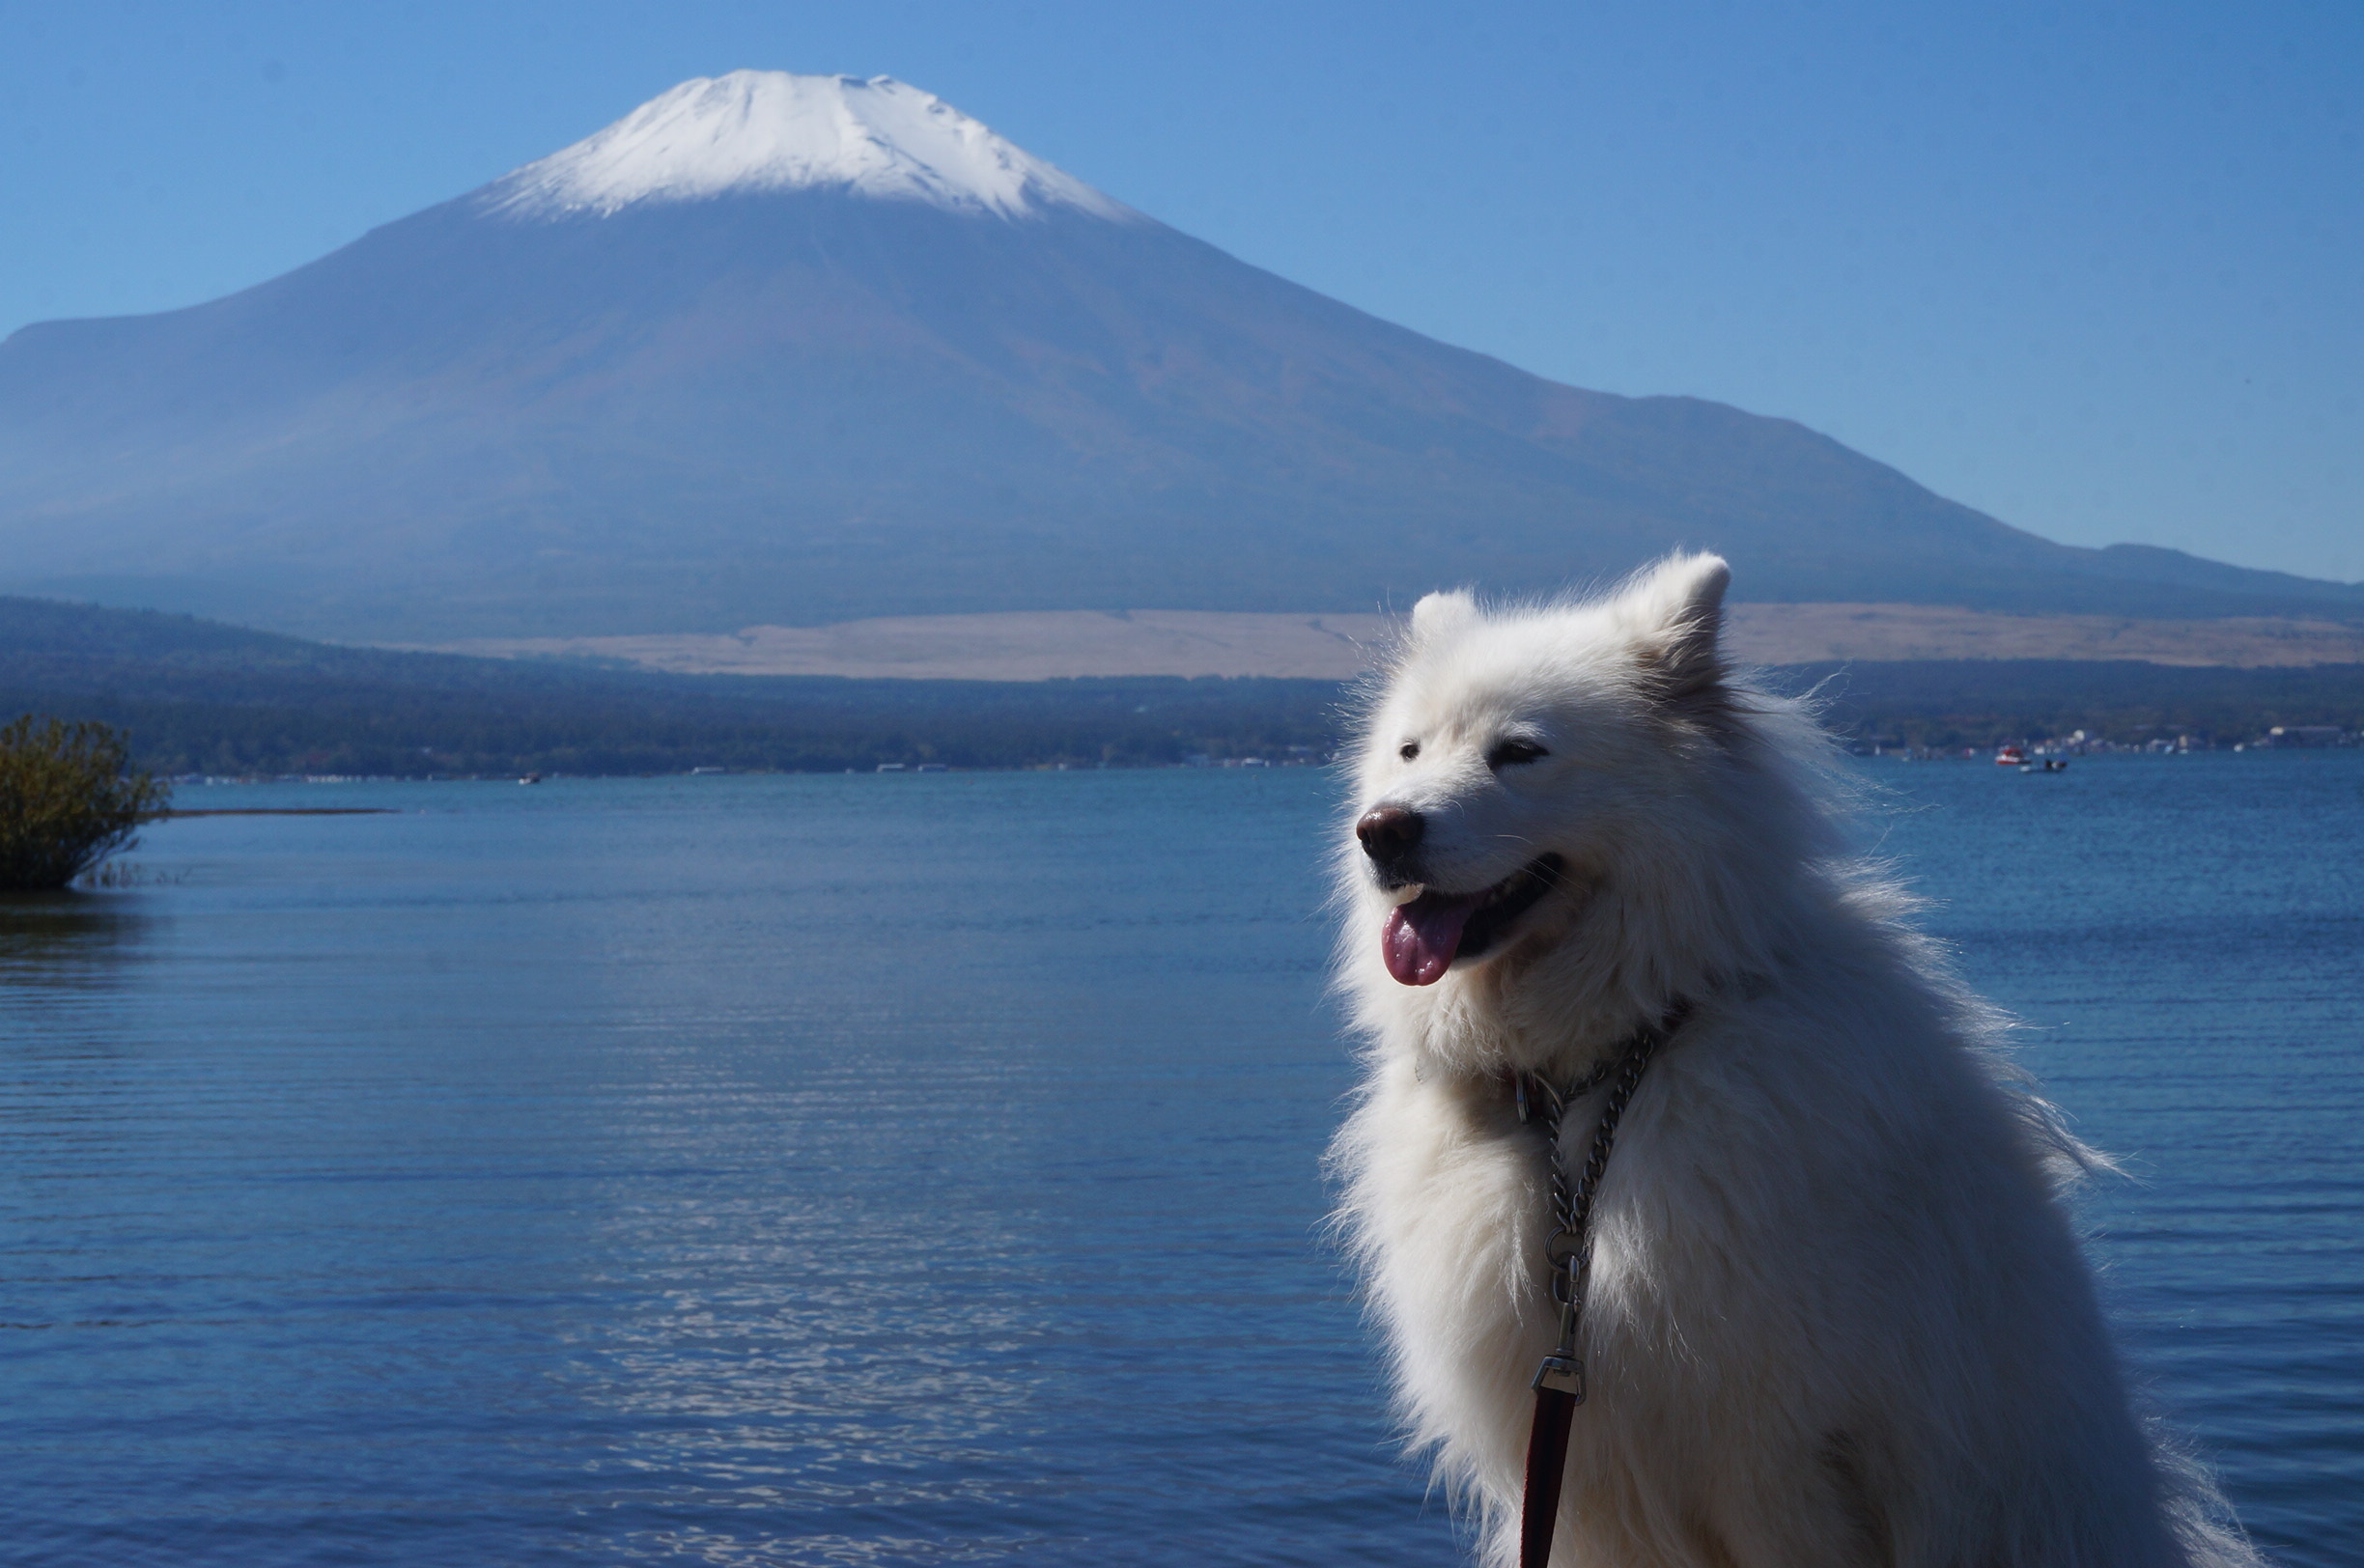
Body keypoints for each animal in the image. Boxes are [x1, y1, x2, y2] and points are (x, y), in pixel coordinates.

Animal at [1333, 555, 2250, 1568]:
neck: (1595, 1075)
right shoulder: (1584, 1484)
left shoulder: (1775, 1458)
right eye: (1410, 751)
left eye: (1520, 751)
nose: (1383, 830)